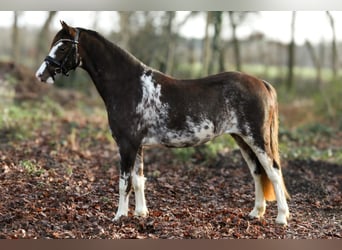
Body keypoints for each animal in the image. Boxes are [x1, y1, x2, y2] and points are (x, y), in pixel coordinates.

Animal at [36, 21, 290, 225]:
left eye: (63, 46)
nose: (41, 74)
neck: (128, 85)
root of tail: (261, 83)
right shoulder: (136, 144)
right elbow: (138, 180)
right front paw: (140, 214)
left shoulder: (126, 144)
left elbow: (124, 182)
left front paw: (119, 216)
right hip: (242, 138)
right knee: (257, 172)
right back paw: (256, 213)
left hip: (256, 138)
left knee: (273, 172)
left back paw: (281, 218)